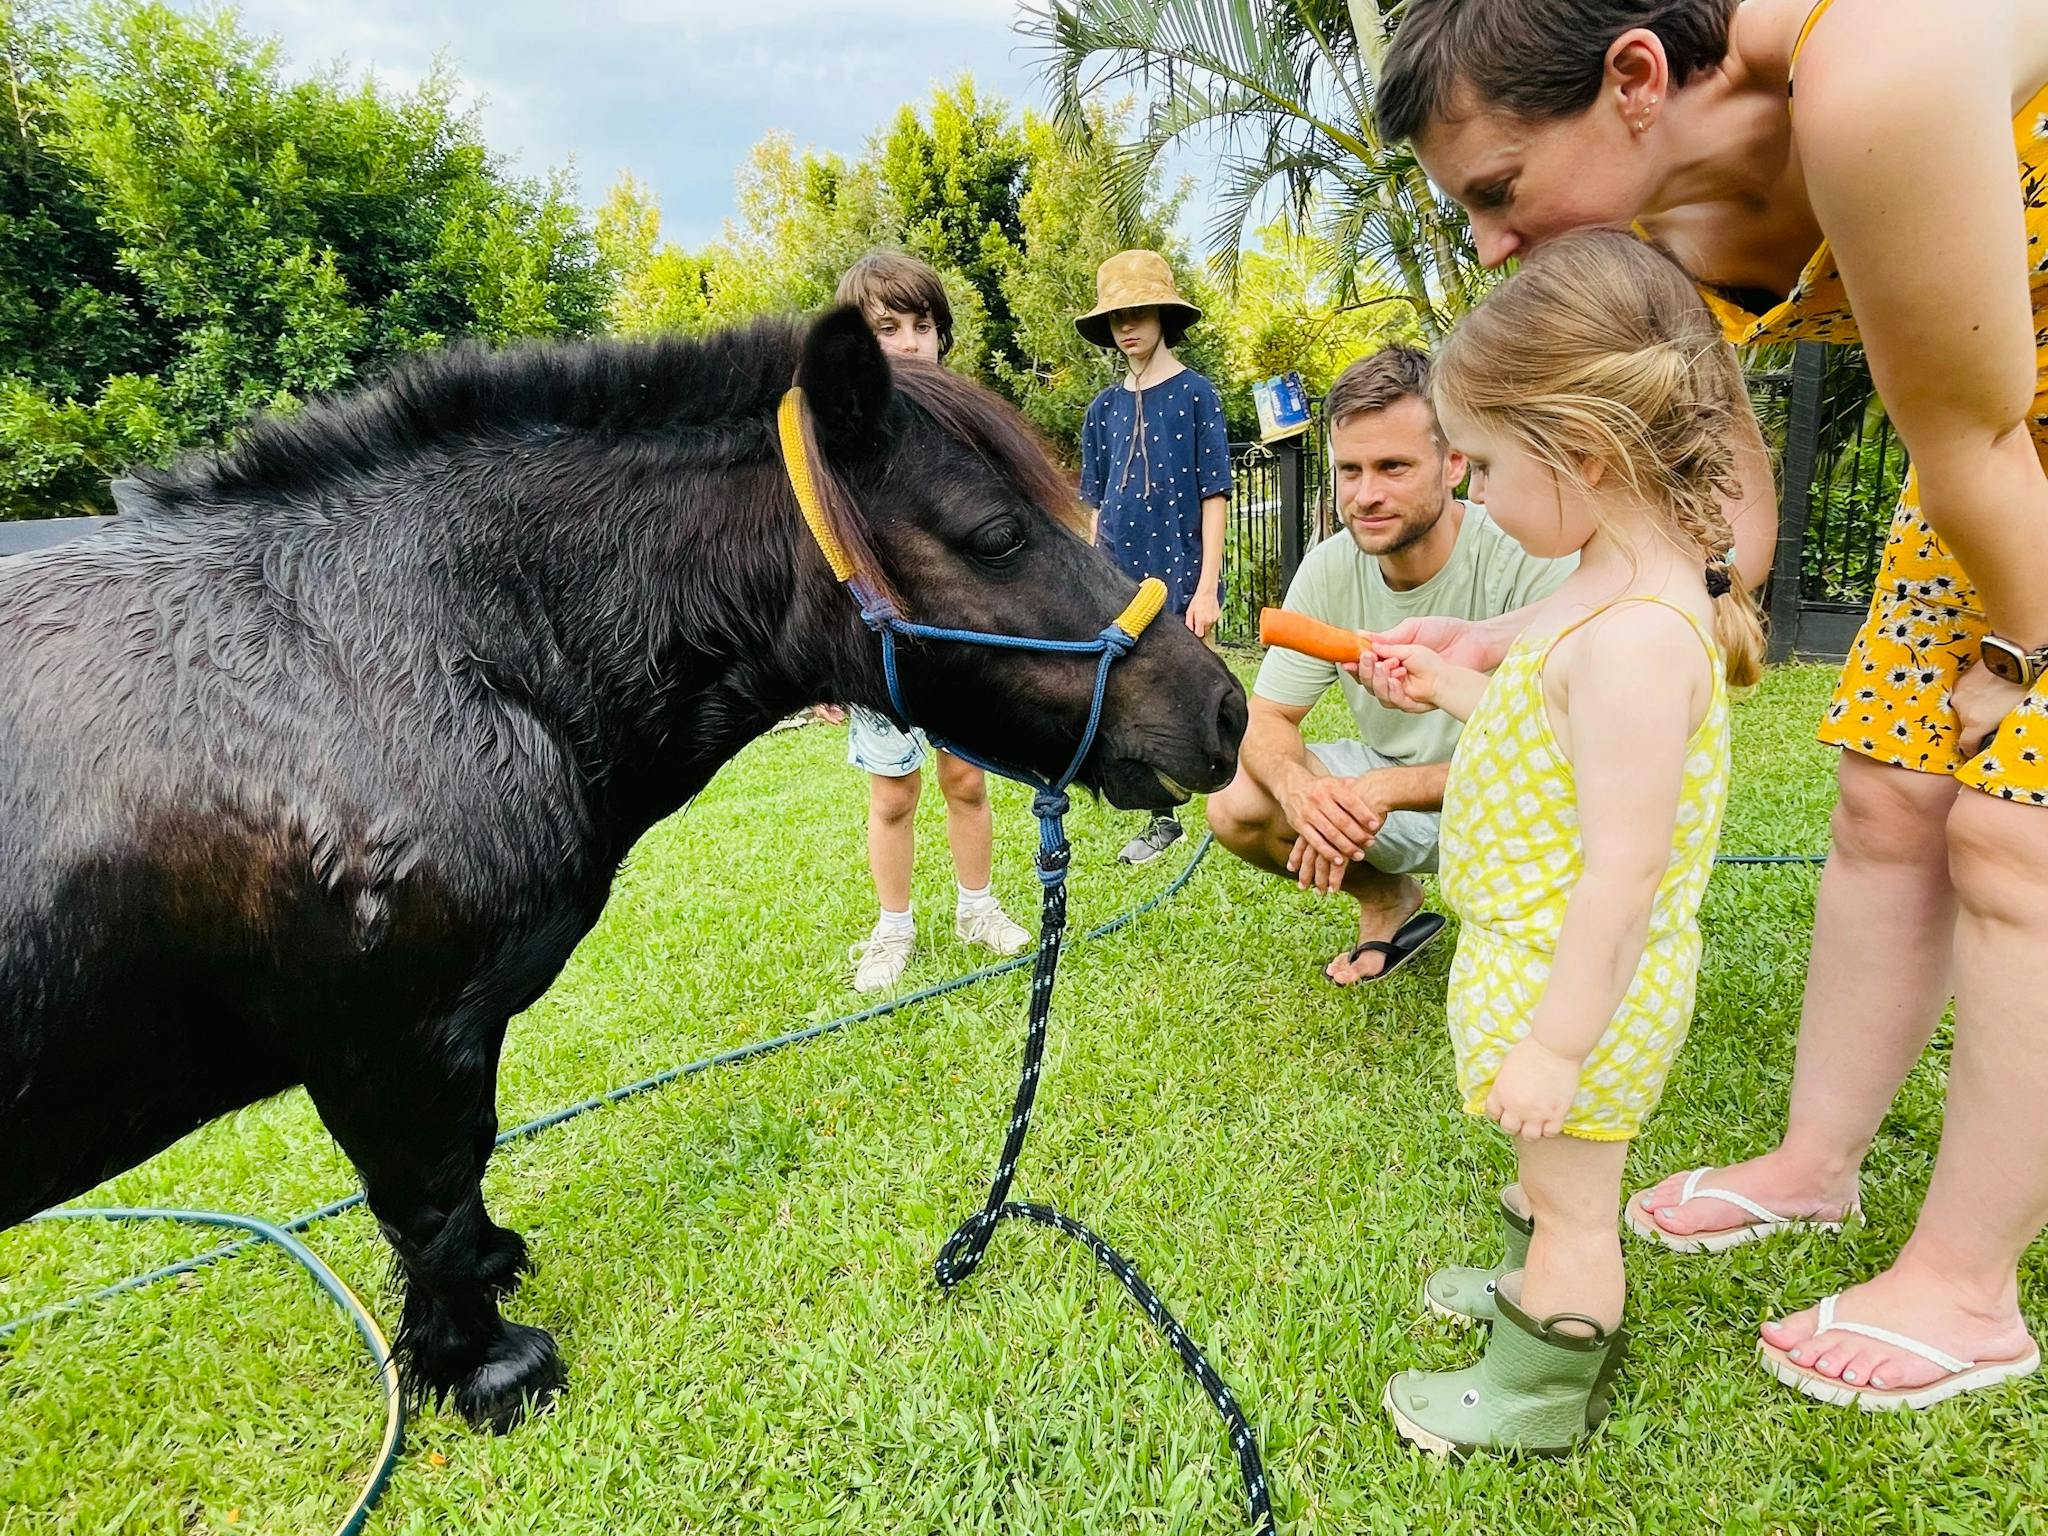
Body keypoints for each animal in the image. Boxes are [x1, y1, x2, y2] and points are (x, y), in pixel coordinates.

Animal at [0, 305, 1247, 1431]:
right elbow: (425, 1194)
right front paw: (485, 1368)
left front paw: (488, 1280)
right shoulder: (385, 1044)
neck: (417, 652)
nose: (1223, 710)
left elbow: (468, 1163)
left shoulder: (451, 1032)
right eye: (995, 534)